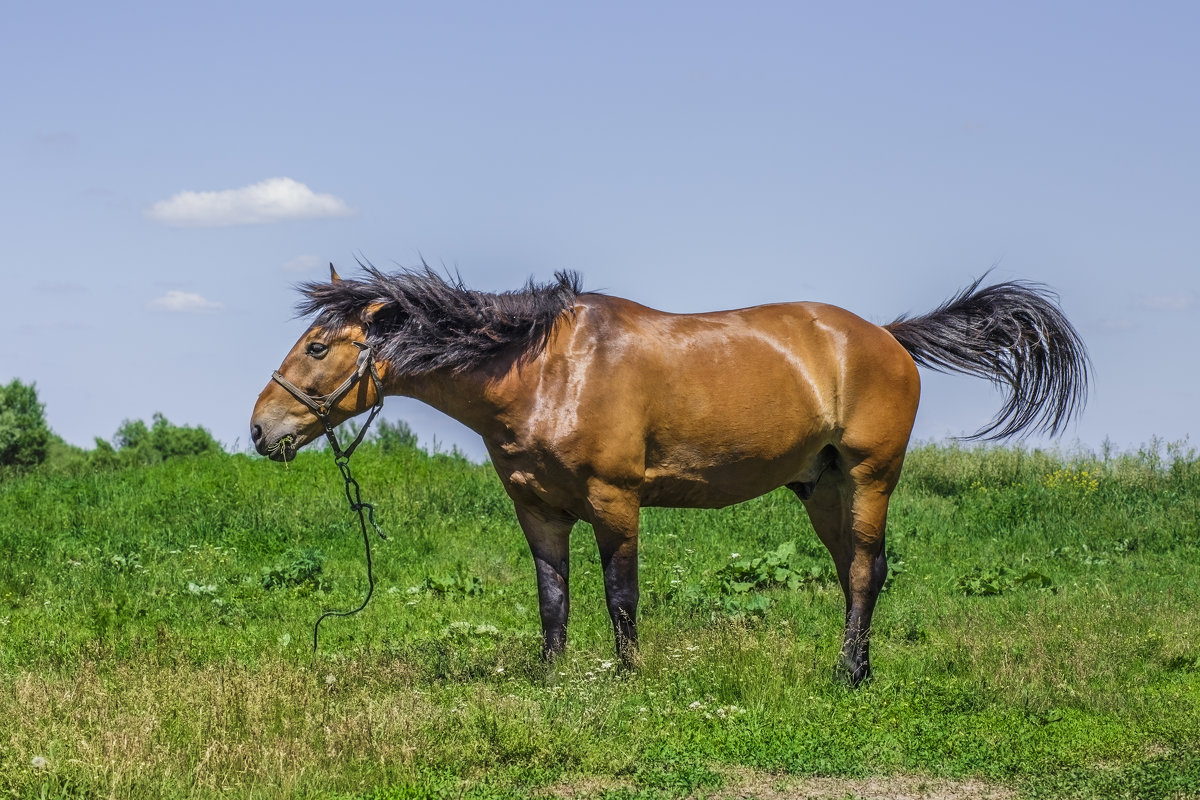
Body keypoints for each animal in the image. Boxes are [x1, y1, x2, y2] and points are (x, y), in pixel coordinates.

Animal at [250, 266, 1089, 686]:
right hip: (821, 488)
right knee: (860, 569)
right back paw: (860, 666)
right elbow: (553, 597)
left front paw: (628, 676)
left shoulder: (615, 500)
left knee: (862, 572)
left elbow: (620, 593)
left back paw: (848, 673)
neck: (549, 369)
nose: (261, 429)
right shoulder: (536, 508)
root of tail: (886, 337)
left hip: (869, 478)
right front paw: (551, 677)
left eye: (319, 347)